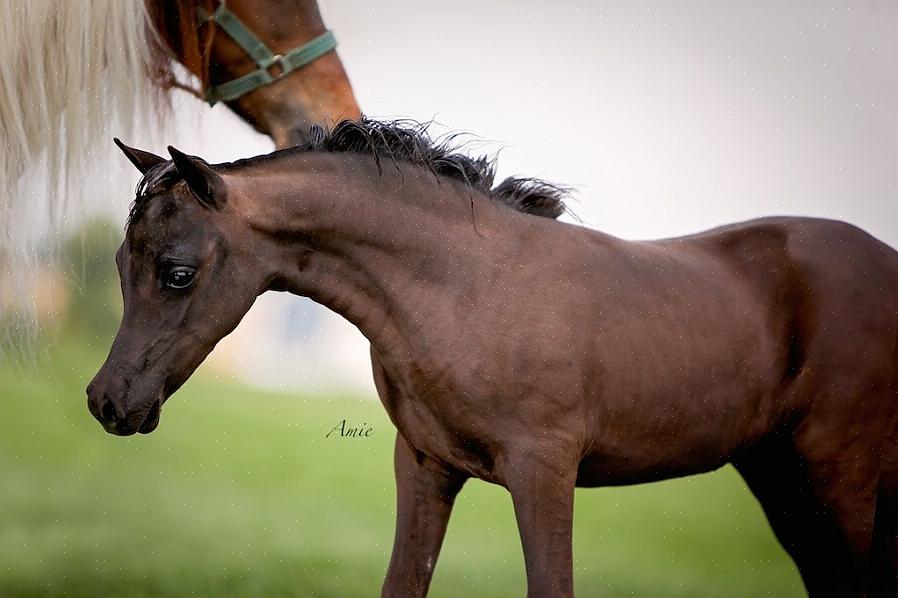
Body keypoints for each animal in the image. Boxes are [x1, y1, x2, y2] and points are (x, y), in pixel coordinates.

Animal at [87, 119, 892, 596]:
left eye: (178, 273)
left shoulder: (544, 470)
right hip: (783, 477)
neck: (466, 287)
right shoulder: (424, 466)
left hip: (841, 473)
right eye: (123, 265)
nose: (107, 402)